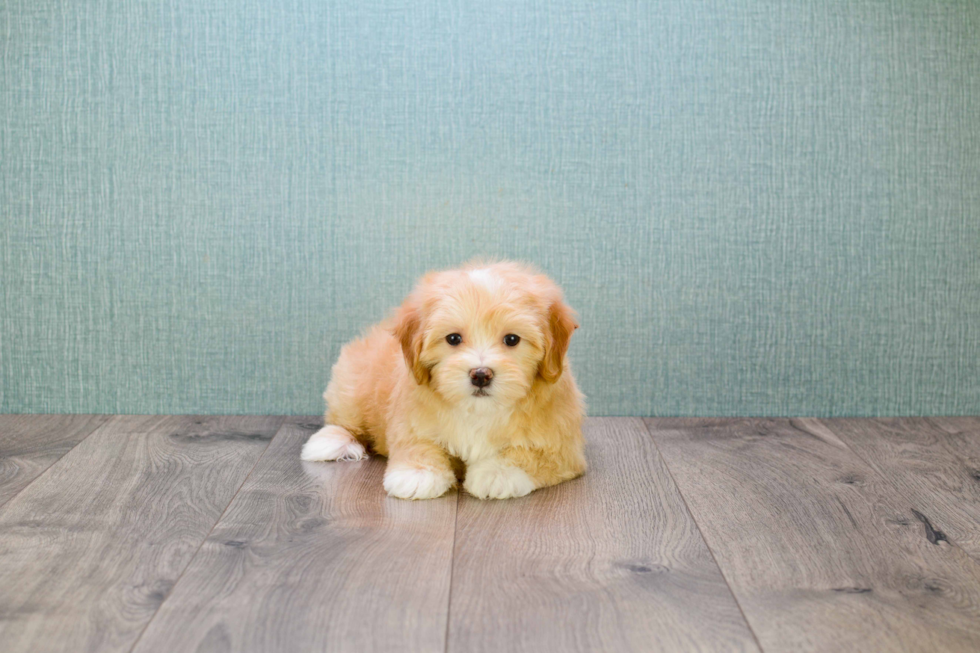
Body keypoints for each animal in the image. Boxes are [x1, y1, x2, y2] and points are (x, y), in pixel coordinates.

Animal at [302, 260, 584, 500]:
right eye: (453, 339)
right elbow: (418, 443)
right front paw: (417, 473)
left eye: (512, 339)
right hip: (352, 384)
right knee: (345, 419)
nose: (480, 374)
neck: (479, 411)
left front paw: (498, 473)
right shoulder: (410, 419)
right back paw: (331, 441)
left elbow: (531, 455)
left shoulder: (562, 444)